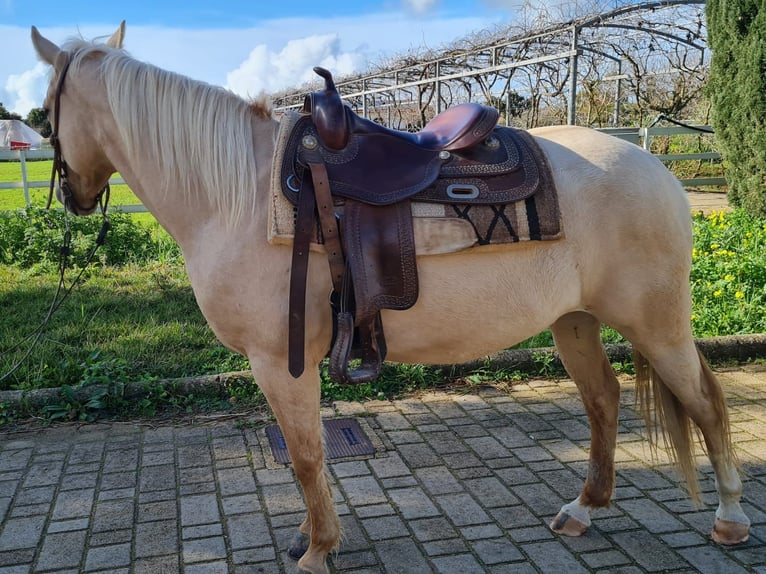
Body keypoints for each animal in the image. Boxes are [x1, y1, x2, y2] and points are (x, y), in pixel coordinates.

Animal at [31, 23, 750, 574]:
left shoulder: (279, 361)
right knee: (603, 400)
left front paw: (318, 550)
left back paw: (729, 517)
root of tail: (654, 167)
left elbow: (305, 454)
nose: (71, 195)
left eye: (45, 108)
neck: (235, 195)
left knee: (705, 404)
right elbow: (309, 454)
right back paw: (582, 510)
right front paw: (310, 536)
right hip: (575, 320)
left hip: (654, 321)